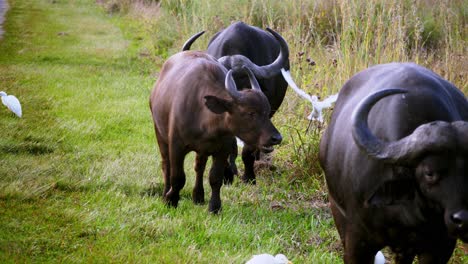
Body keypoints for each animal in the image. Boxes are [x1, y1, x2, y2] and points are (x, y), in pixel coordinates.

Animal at [150, 50, 282, 213]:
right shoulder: (176, 146)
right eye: (251, 113)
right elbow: (178, 177)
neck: (203, 116)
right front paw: (170, 200)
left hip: (203, 150)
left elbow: (215, 178)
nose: (276, 138)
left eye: (267, 111)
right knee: (166, 165)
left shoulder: (222, 150)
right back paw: (166, 192)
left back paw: (198, 196)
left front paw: (214, 207)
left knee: (199, 167)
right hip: (160, 134)